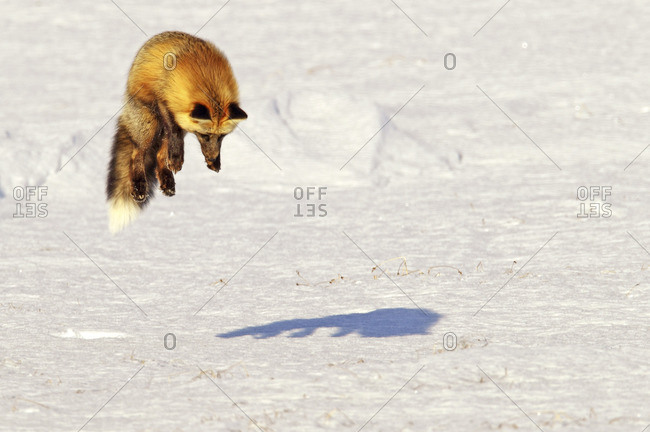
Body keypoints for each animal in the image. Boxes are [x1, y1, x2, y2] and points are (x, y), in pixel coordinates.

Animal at [106, 31, 247, 233]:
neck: (207, 79)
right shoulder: (164, 101)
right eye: (205, 136)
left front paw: (213, 162)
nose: (212, 159)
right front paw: (176, 157)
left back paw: (167, 182)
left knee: (159, 156)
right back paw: (140, 186)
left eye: (222, 137)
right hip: (149, 125)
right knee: (137, 154)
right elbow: (172, 131)